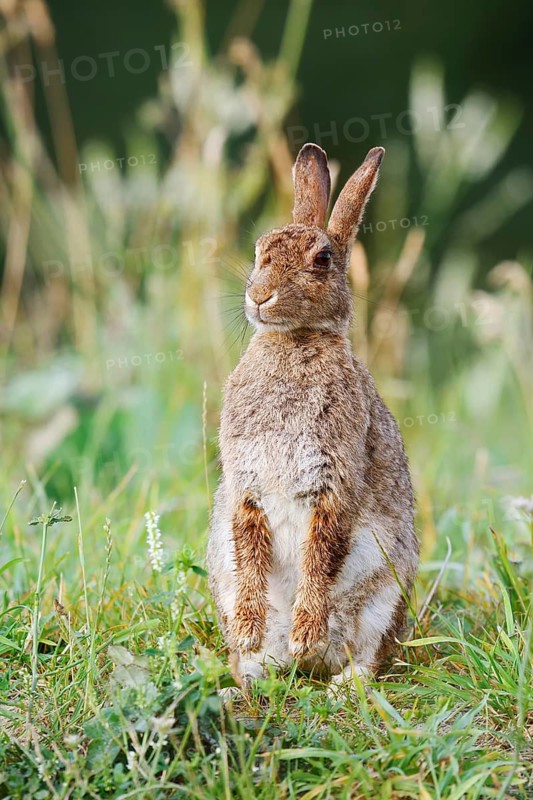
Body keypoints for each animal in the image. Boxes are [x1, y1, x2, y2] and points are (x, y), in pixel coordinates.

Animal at [207, 143, 419, 690]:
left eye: (322, 260)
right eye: (260, 248)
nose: (259, 295)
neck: (294, 340)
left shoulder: (332, 479)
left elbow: (321, 554)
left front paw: (306, 631)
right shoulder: (246, 483)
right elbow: (251, 550)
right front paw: (248, 629)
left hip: (385, 595)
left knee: (367, 656)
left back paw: (332, 678)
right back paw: (253, 673)